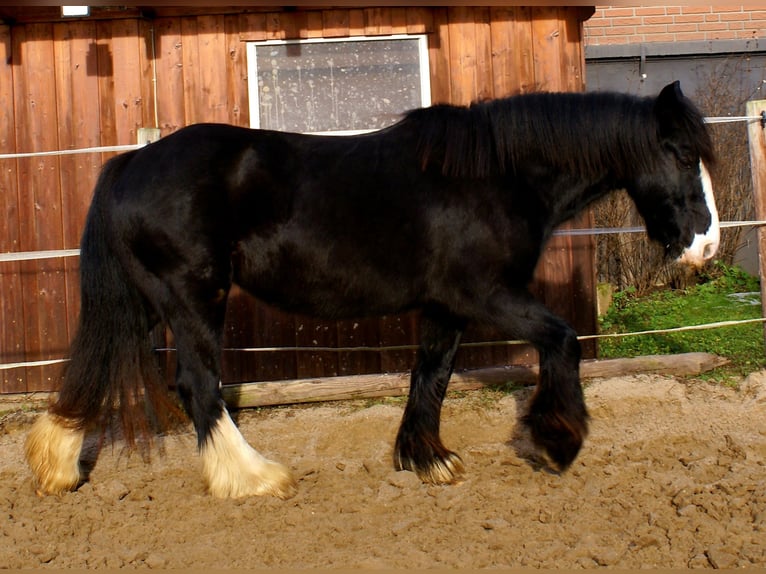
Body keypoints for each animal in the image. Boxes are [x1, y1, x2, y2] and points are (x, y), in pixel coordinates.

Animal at [25, 81, 720, 500]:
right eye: (683, 156)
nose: (706, 246)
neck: (495, 176)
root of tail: (129, 163)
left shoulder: (445, 306)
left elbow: (431, 375)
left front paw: (426, 458)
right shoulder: (487, 295)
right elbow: (563, 340)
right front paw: (559, 439)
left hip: (144, 302)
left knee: (91, 370)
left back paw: (57, 467)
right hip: (193, 298)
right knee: (198, 385)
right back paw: (252, 478)